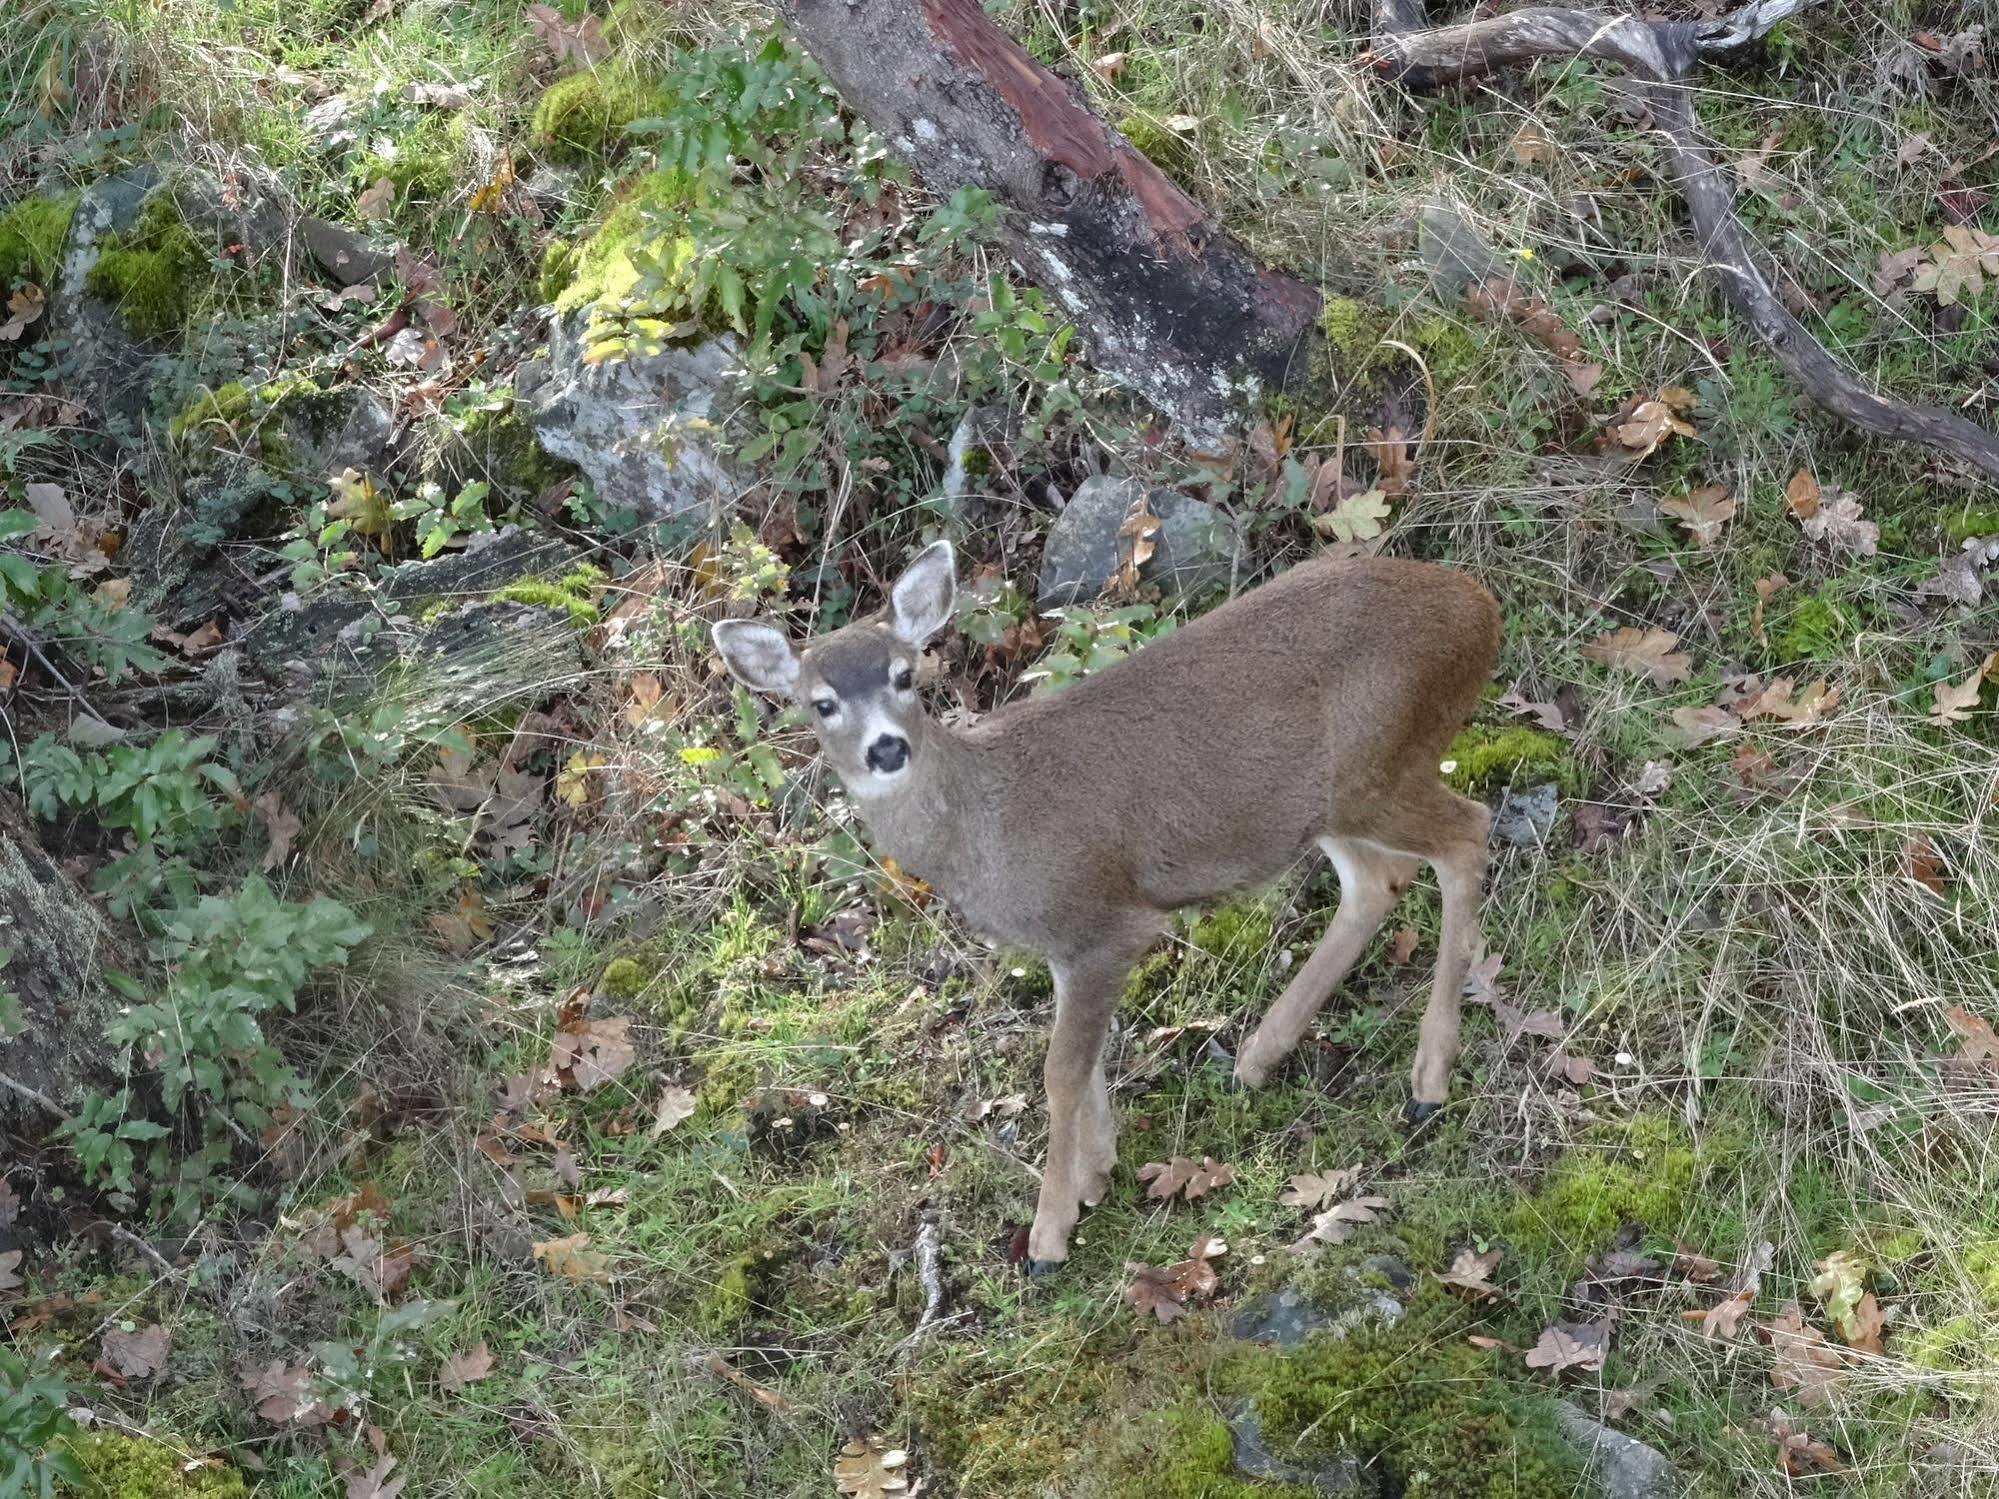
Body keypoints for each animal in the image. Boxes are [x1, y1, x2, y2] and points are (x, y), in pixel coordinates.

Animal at [719, 539, 1503, 1271]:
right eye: (820, 702)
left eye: (903, 675)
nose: (886, 749)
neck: (986, 825)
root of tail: (1483, 607)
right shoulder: (1070, 942)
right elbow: (1085, 1060)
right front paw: (1095, 1173)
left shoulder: (1105, 922)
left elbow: (1060, 1071)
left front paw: (1048, 1233)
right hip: (1318, 805)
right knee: (1379, 880)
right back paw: (1257, 1057)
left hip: (1379, 763)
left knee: (1469, 830)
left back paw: (1427, 1081)